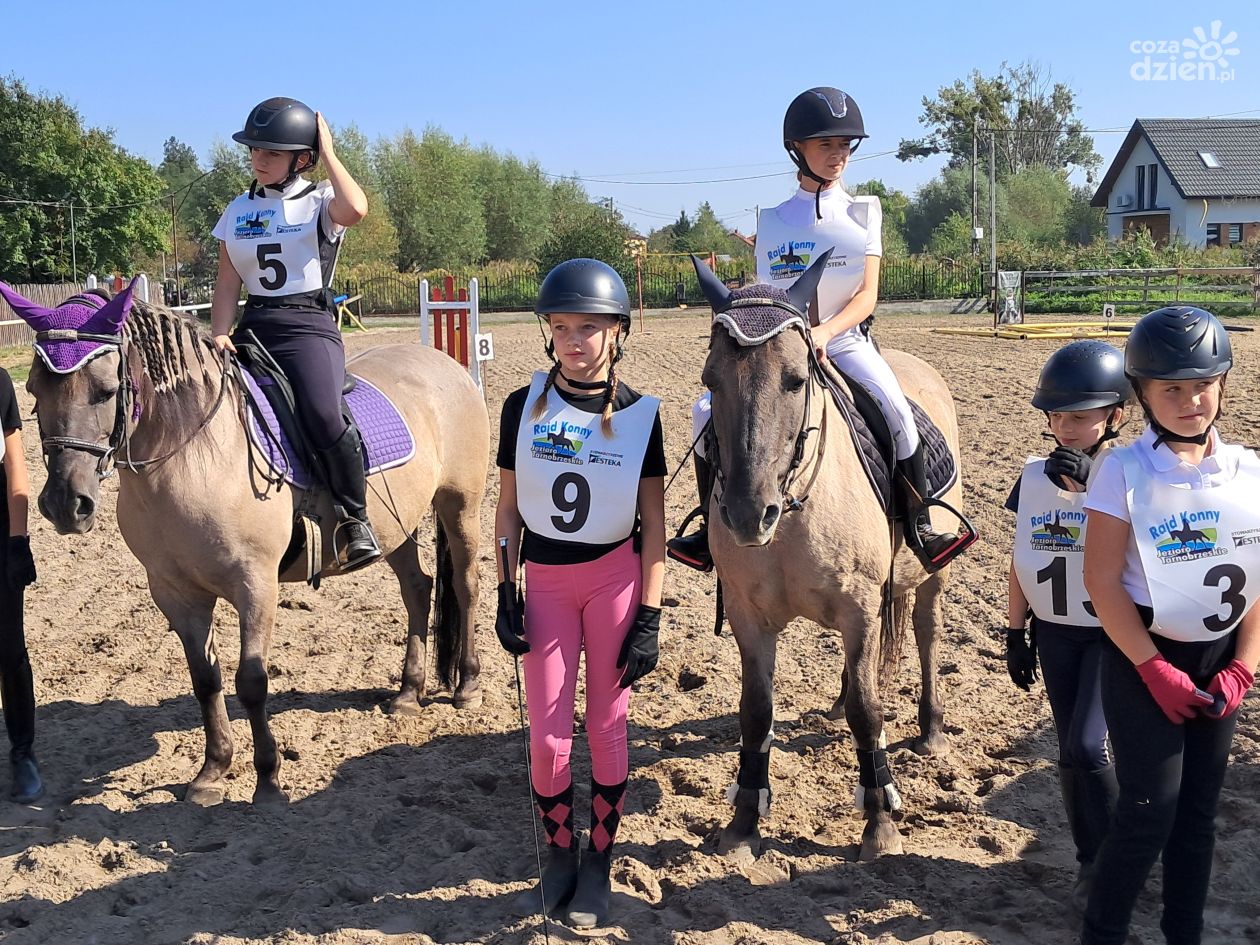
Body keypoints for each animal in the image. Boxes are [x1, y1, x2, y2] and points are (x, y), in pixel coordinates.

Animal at [1, 279, 491, 806]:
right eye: (33, 390)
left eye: (106, 391)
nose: (64, 503)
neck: (192, 455)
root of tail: (441, 362)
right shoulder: (175, 593)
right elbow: (206, 680)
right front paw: (212, 771)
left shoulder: (256, 585)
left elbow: (251, 681)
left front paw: (268, 779)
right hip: (394, 525)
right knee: (418, 589)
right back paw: (407, 693)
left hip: (459, 507)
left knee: (464, 586)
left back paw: (467, 685)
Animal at [690, 255, 962, 861]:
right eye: (710, 381)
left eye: (795, 379)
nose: (748, 514)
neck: (792, 511)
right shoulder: (748, 615)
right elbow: (756, 712)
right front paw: (743, 824)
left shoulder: (859, 606)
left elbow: (868, 710)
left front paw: (879, 823)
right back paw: (835, 707)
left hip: (932, 572)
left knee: (928, 635)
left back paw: (931, 730)